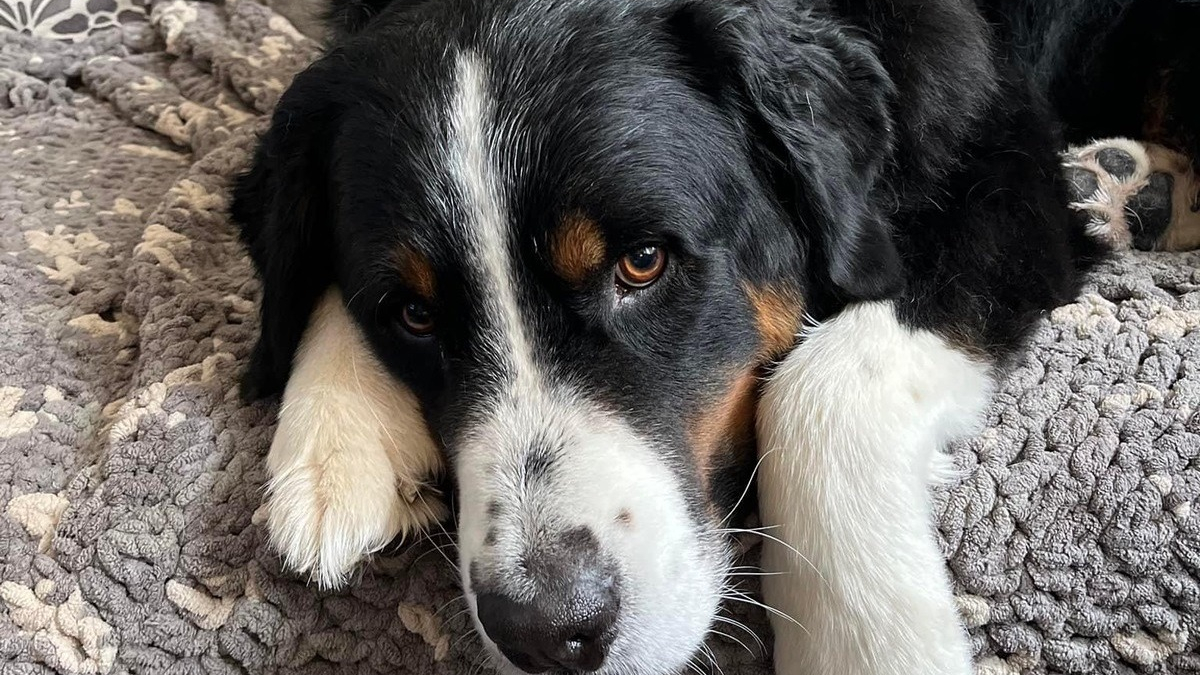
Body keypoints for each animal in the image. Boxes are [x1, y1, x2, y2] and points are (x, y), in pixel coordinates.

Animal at [226, 1, 1200, 672]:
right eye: (413, 314)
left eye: (643, 262)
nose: (547, 630)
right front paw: (336, 440)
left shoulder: (998, 178)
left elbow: (818, 385)